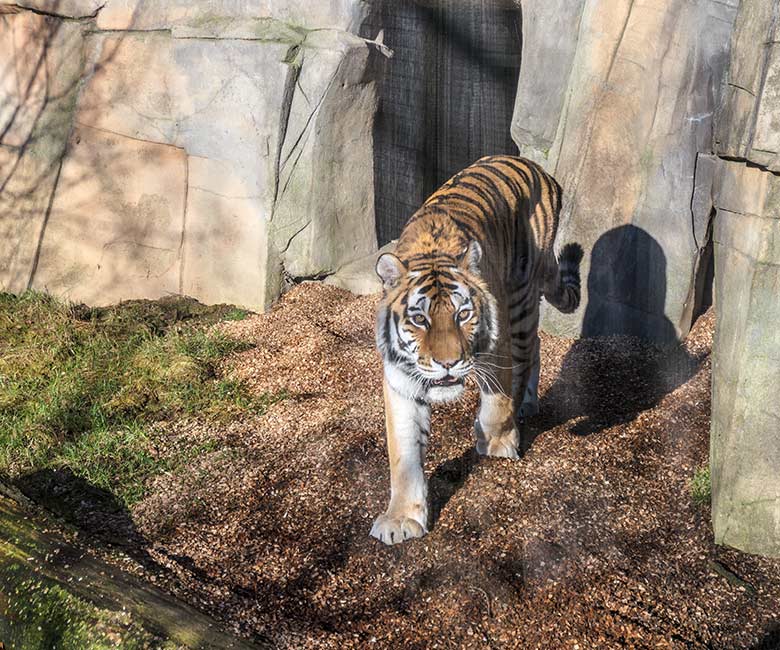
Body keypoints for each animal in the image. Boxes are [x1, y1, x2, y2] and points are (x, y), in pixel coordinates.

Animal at [374, 154, 584, 544]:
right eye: (419, 319)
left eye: (463, 314)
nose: (448, 363)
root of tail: (534, 166)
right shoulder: (401, 380)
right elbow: (404, 452)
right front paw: (402, 519)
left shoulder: (496, 348)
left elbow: (496, 405)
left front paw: (497, 444)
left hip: (520, 301)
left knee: (527, 353)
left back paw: (521, 408)